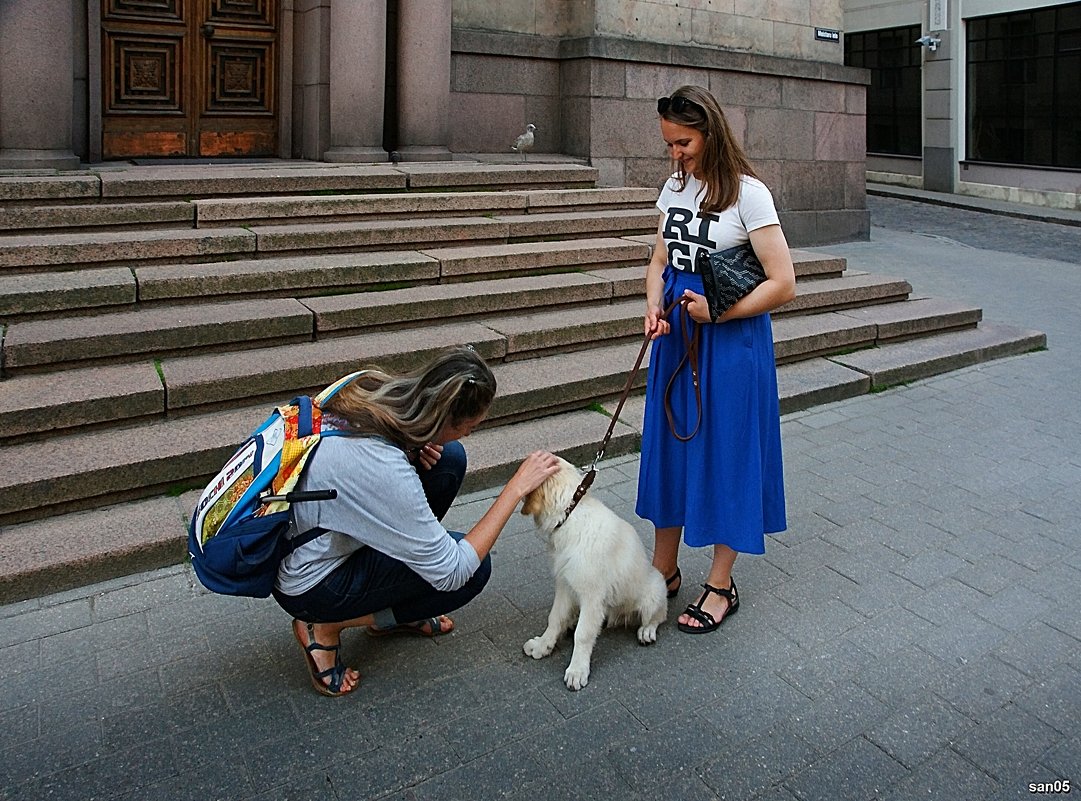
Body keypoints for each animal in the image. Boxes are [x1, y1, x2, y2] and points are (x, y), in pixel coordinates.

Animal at [516, 456, 661, 687]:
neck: (570, 514)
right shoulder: (564, 585)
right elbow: (554, 618)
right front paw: (543, 645)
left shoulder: (591, 596)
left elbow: (583, 635)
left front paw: (577, 670)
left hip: (654, 591)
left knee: (658, 615)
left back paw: (647, 630)